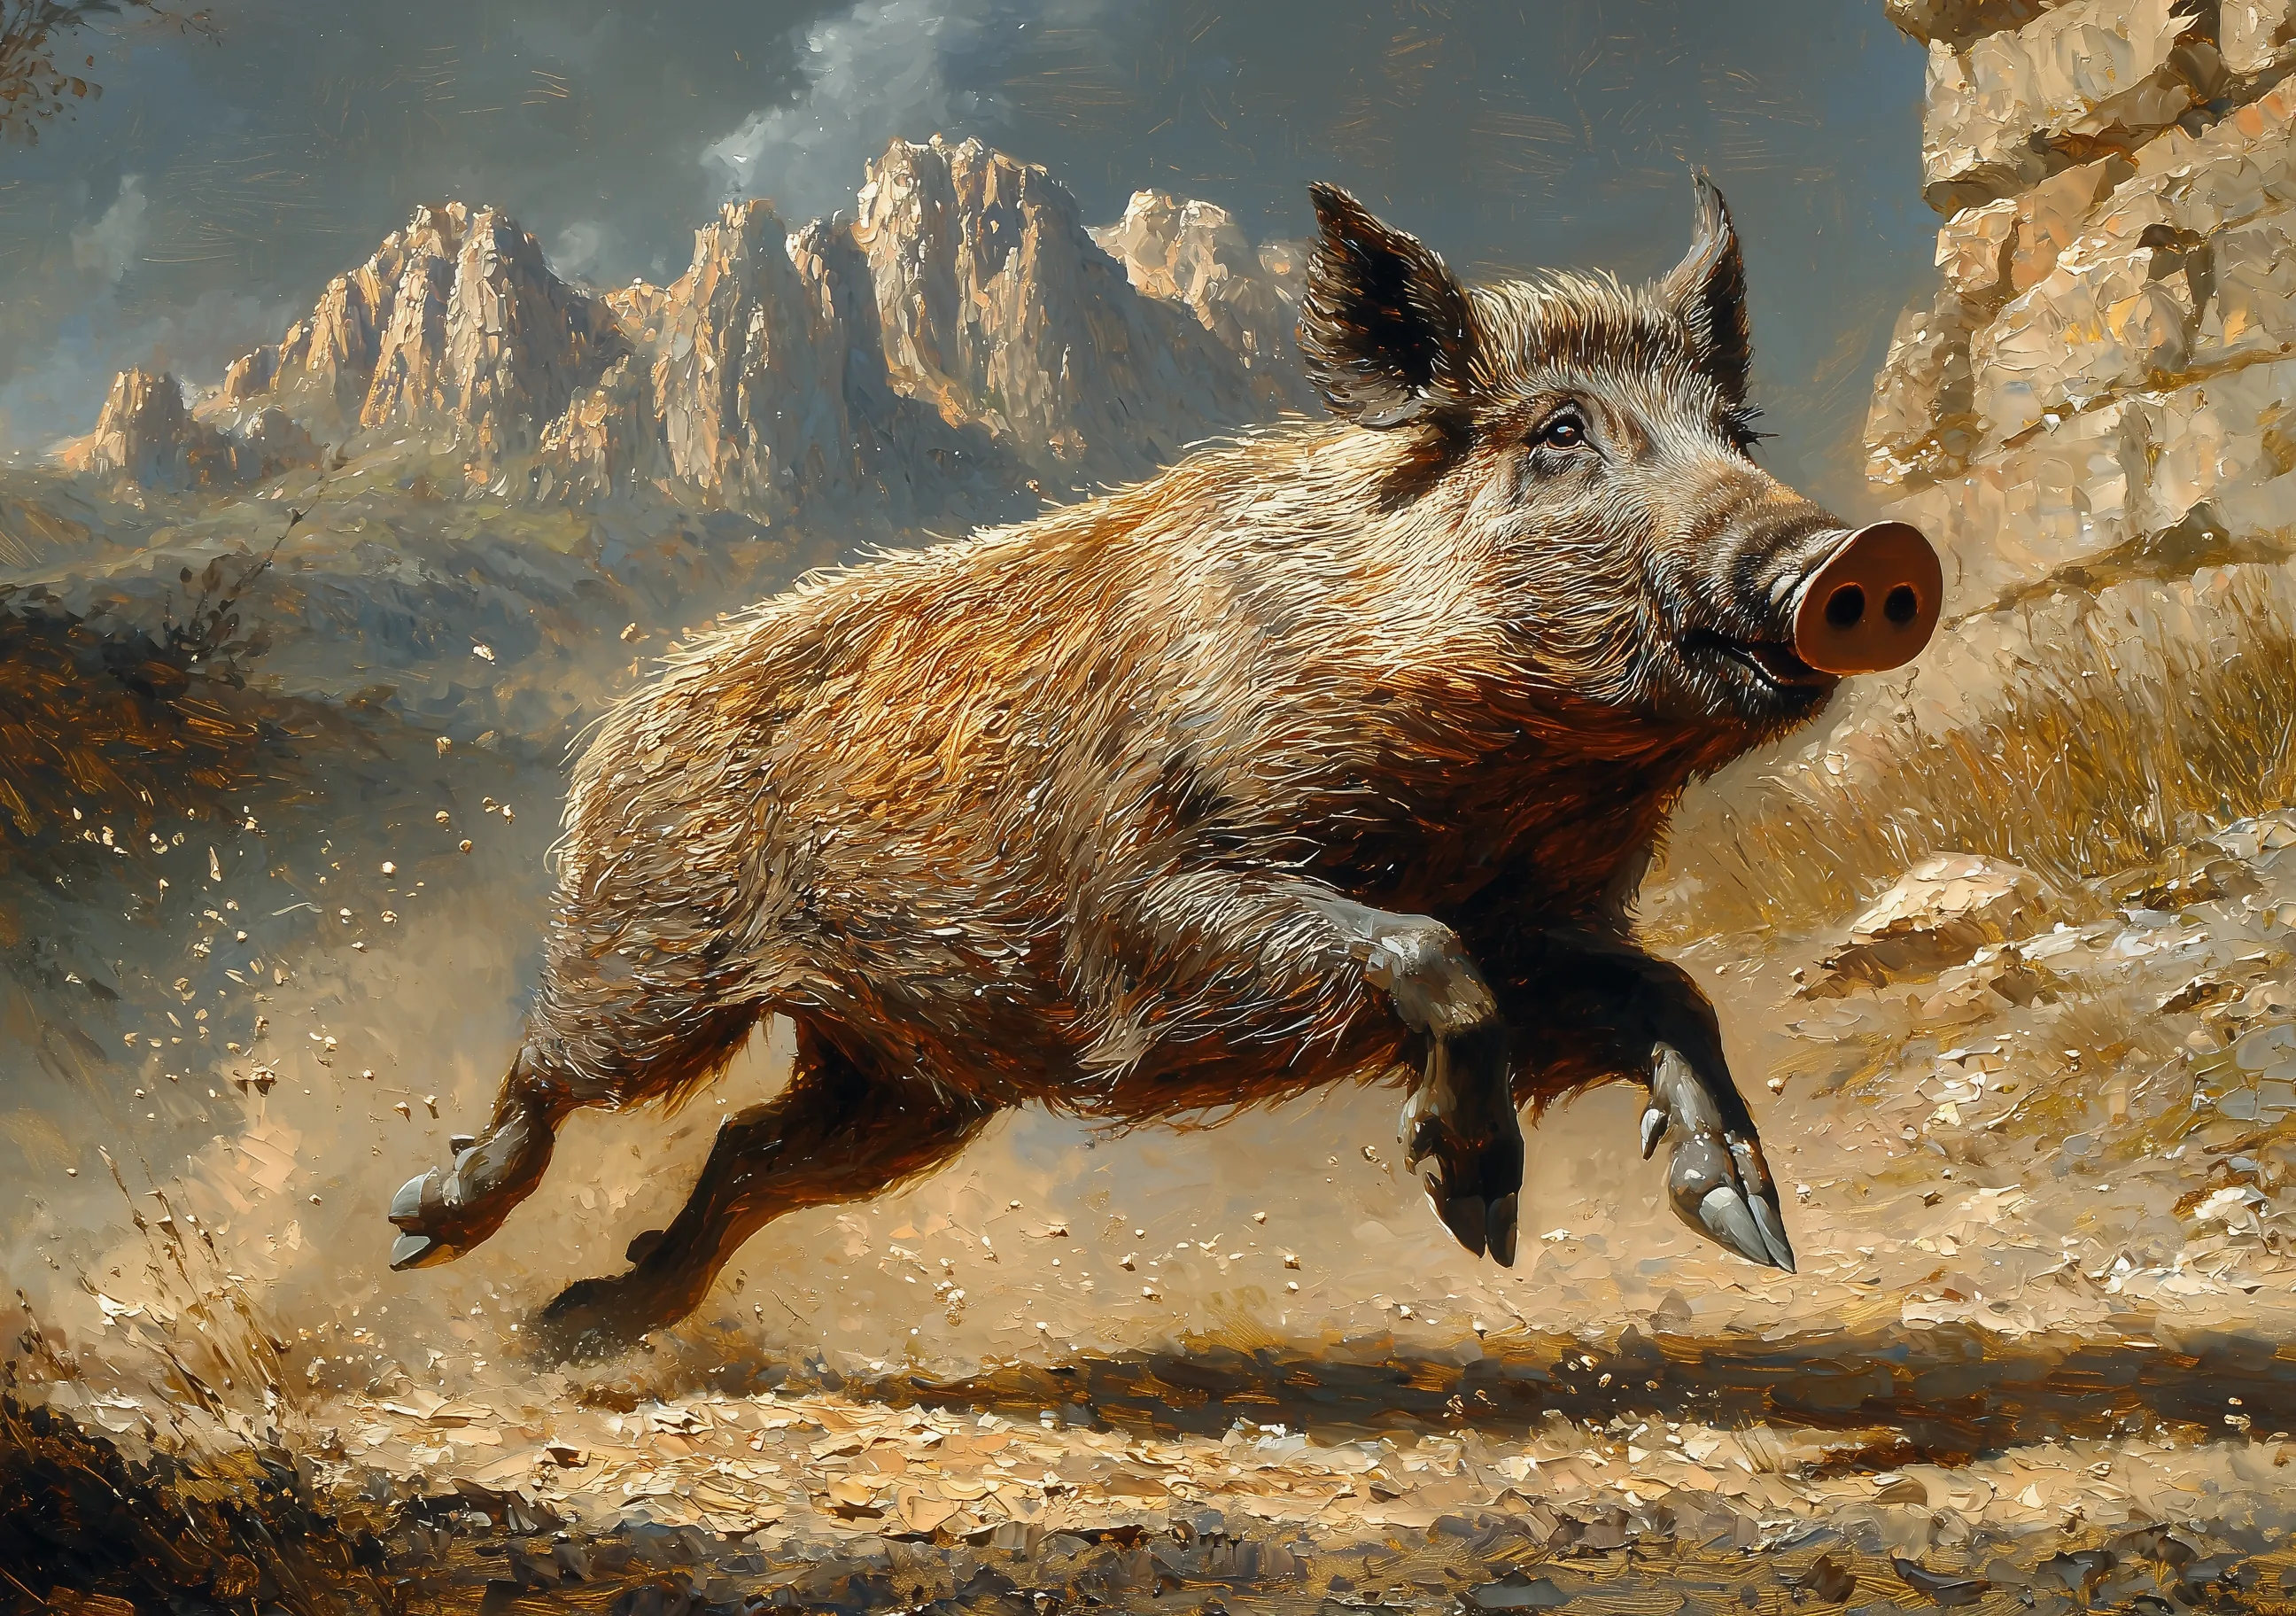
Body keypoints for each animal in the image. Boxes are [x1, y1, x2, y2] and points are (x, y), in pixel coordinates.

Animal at [387, 175, 1939, 1359]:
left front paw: (1751, 1234)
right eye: (1561, 432)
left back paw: (584, 1326)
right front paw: (1480, 1216)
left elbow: (1664, 993)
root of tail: (627, 713)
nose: (1864, 555)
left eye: (1734, 434)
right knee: (549, 1070)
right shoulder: (1147, 900)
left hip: (908, 1082)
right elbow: (1425, 956)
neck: (1491, 787)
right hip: (654, 952)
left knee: (747, 1156)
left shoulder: (1546, 924)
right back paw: (428, 1233)